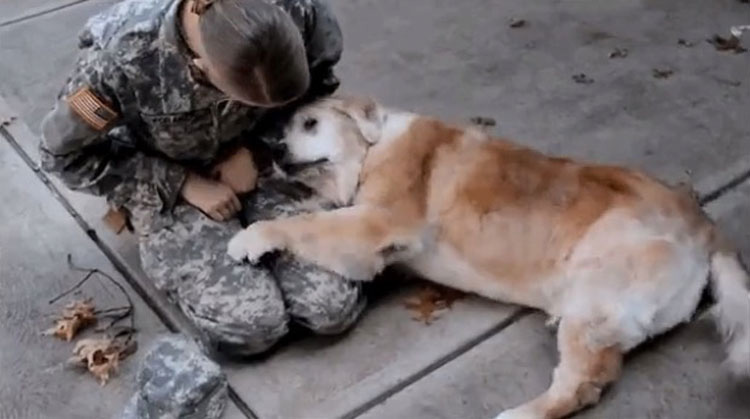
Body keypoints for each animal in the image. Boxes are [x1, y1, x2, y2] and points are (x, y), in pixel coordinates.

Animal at [229, 96, 750, 419]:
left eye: (311, 123)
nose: (271, 150)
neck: (372, 148)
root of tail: (703, 224)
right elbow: (312, 216)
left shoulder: (378, 222)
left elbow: (305, 225)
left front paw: (252, 236)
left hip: (594, 300)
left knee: (581, 386)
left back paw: (521, 413)